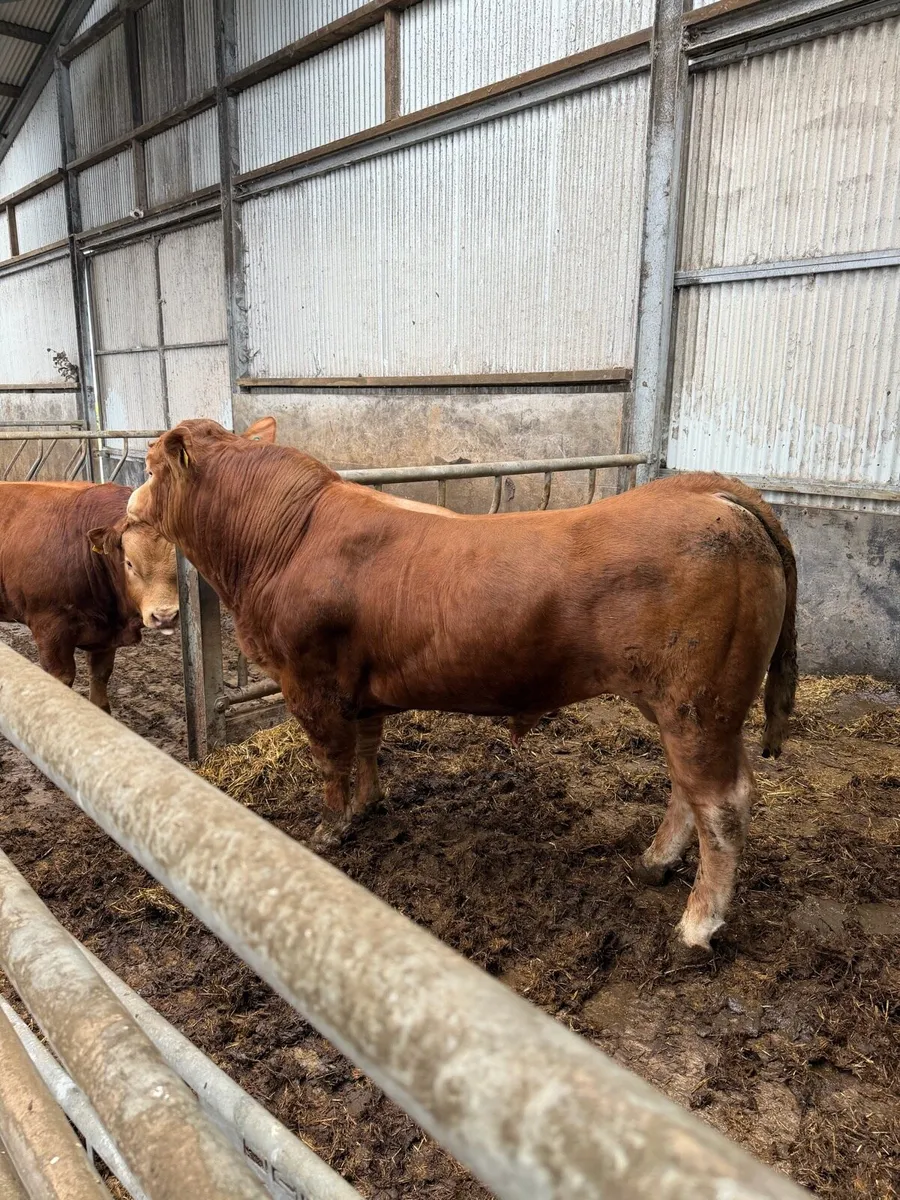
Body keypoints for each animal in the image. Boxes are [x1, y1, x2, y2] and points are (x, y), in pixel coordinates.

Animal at [0, 481, 178, 712]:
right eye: (129, 563)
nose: (165, 616)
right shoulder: (49, 630)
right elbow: (62, 679)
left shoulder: (105, 637)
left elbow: (101, 681)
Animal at [128, 418, 797, 951]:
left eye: (152, 464)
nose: (130, 507)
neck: (287, 538)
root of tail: (706, 490)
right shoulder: (360, 683)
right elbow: (368, 743)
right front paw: (370, 803)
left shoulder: (309, 681)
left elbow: (331, 759)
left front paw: (330, 828)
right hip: (688, 706)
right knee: (689, 790)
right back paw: (655, 863)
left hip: (698, 704)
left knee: (722, 802)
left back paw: (698, 924)